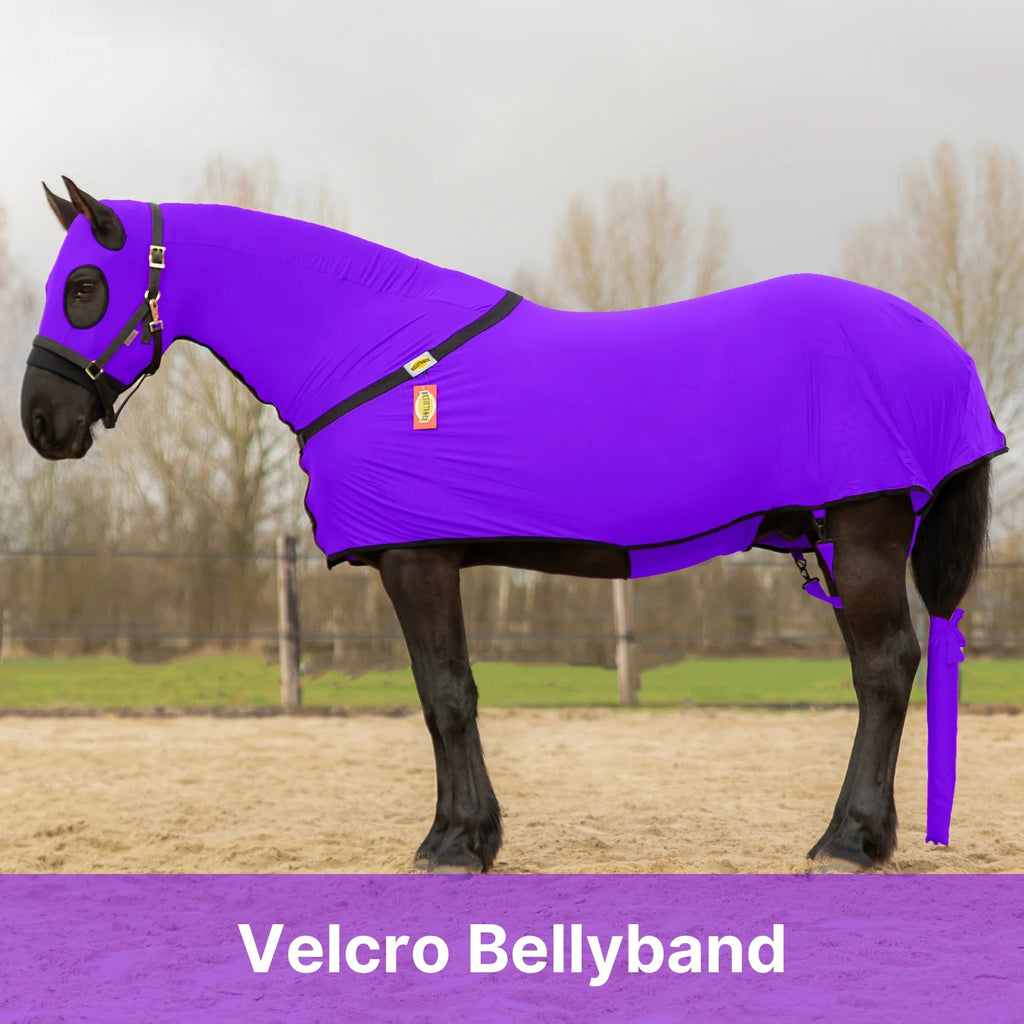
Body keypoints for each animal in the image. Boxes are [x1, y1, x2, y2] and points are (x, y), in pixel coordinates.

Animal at [21, 178, 1005, 873]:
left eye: (84, 286)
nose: (42, 423)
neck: (375, 348)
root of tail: (937, 343)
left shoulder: (417, 558)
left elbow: (445, 694)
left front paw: (455, 843)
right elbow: (446, 696)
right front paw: (473, 836)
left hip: (865, 530)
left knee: (884, 669)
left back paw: (847, 841)